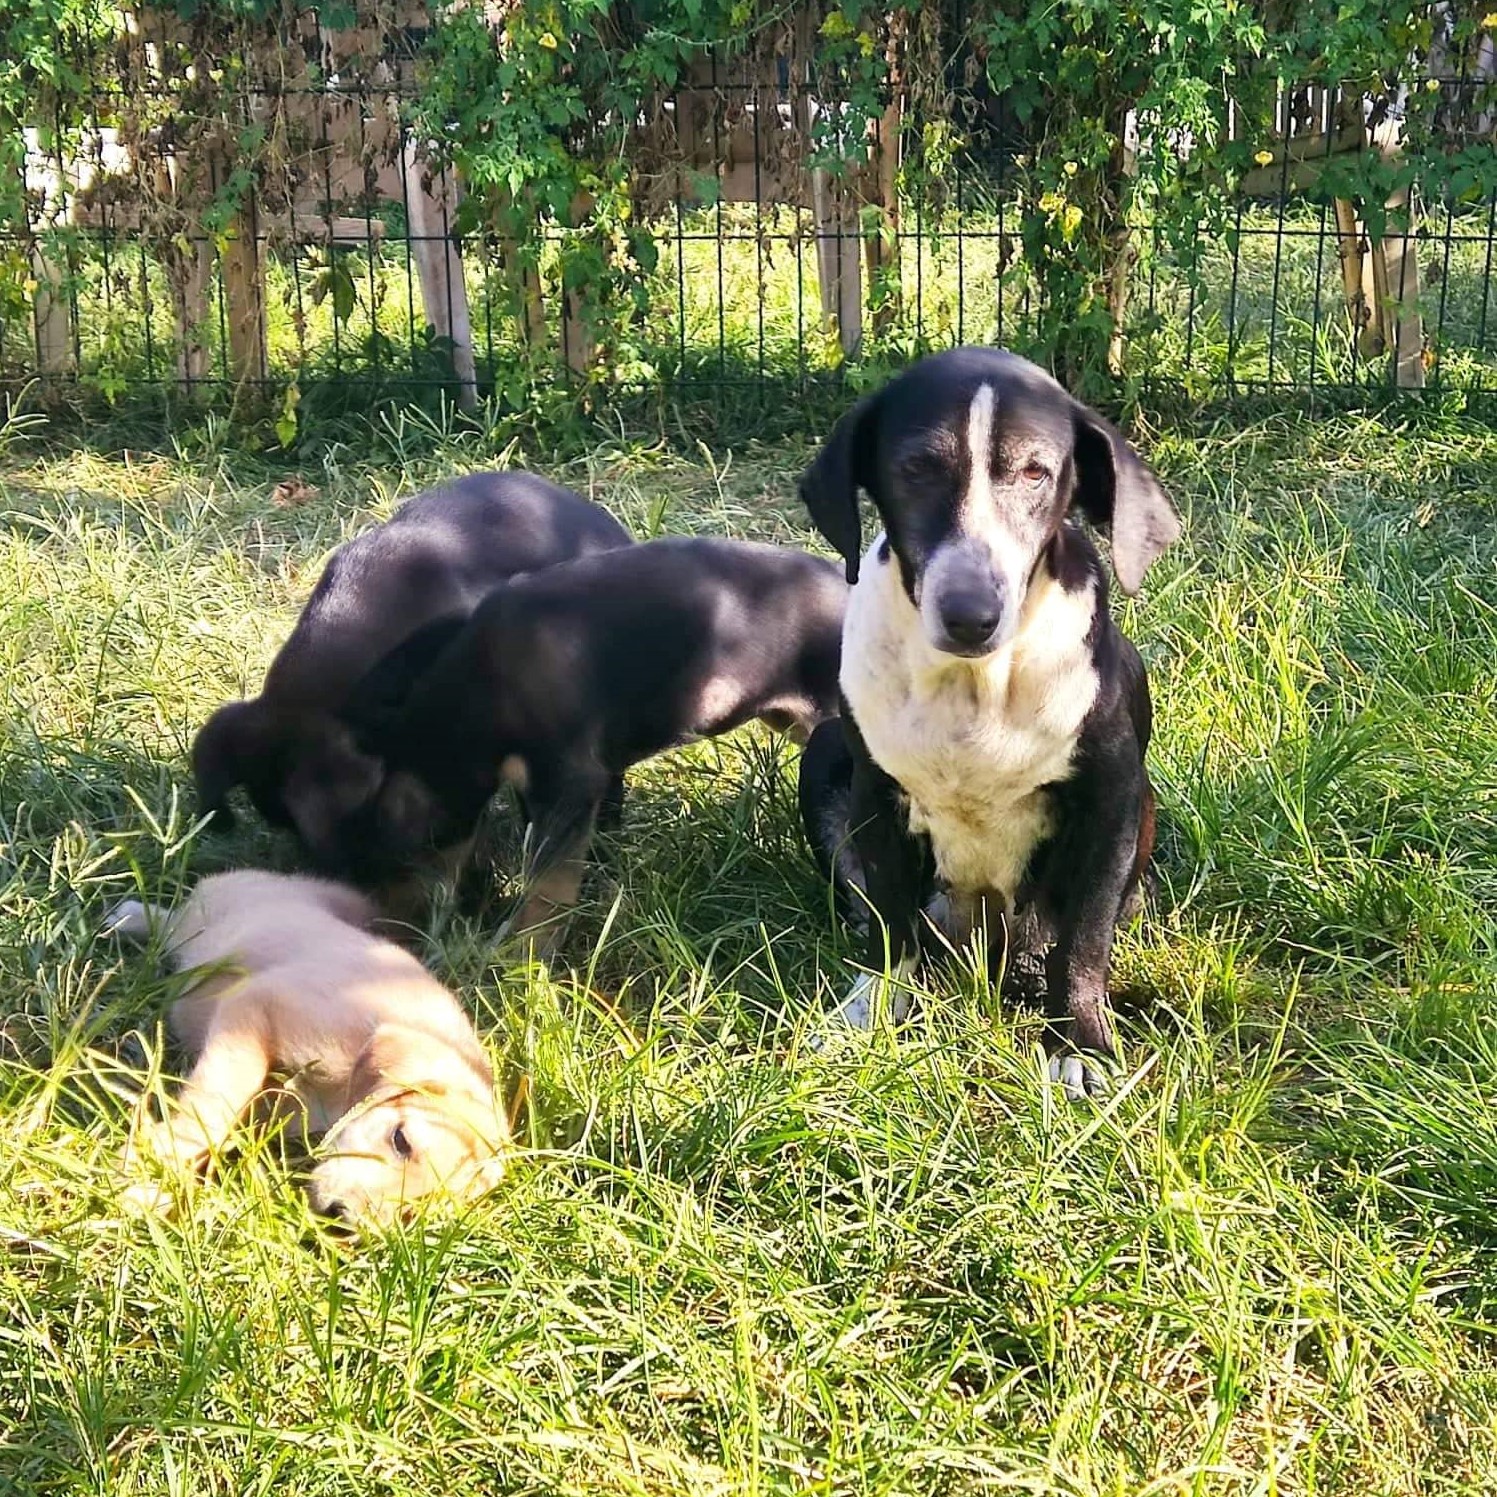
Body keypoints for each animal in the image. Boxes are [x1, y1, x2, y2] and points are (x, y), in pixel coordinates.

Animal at [107, 868, 508, 1227]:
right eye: (401, 1140)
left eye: (413, 1211)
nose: (339, 1219)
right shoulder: (256, 1008)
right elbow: (215, 1103)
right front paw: (152, 1168)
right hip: (208, 918)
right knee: (173, 922)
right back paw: (128, 917)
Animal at [796, 350, 1179, 1101]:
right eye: (916, 466)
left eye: (1035, 471)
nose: (970, 614)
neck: (973, 684)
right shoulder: (875, 796)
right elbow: (889, 916)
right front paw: (872, 1006)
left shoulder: (1112, 798)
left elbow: (1085, 935)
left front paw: (1079, 1044)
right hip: (824, 752)